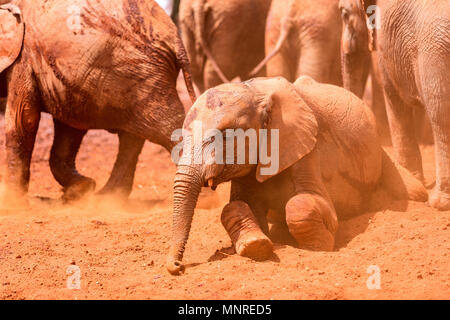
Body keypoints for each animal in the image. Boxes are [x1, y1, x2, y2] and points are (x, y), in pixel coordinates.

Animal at [0, 0, 197, 205]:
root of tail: (176, 39)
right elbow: (69, 126)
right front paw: (82, 190)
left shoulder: (23, 58)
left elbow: (24, 119)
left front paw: (11, 201)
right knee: (133, 136)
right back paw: (107, 198)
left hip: (142, 71)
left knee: (167, 128)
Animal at [167, 75, 428, 276]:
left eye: (225, 135)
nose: (177, 266)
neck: (257, 92)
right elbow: (235, 206)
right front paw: (255, 246)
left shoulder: (305, 145)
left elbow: (306, 204)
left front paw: (319, 246)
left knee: (414, 192)